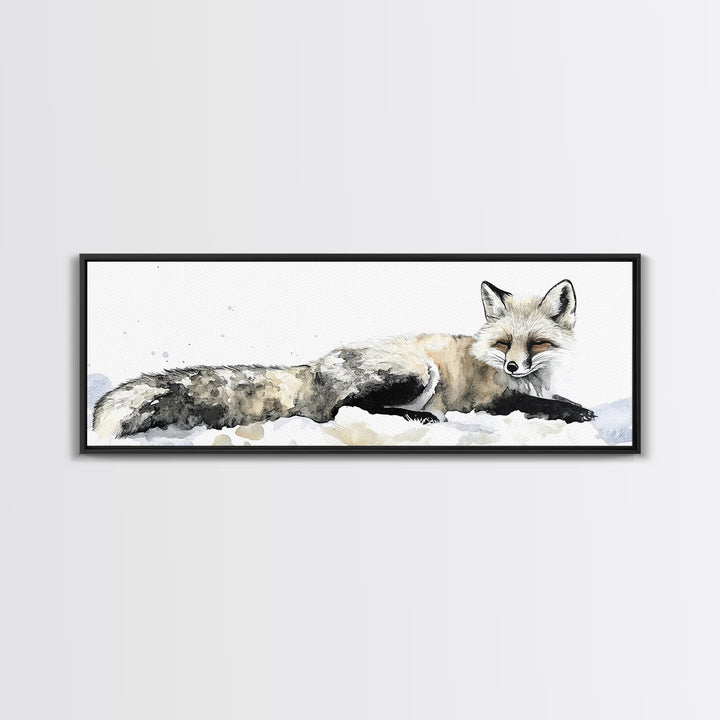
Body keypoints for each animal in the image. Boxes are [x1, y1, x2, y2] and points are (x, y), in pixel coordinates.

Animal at [92, 279, 596, 440]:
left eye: (536, 344)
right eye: (505, 343)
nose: (512, 367)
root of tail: (314, 367)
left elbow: (558, 400)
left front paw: (577, 407)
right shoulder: (489, 401)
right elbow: (540, 406)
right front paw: (578, 414)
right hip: (419, 372)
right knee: (339, 409)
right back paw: (419, 419)